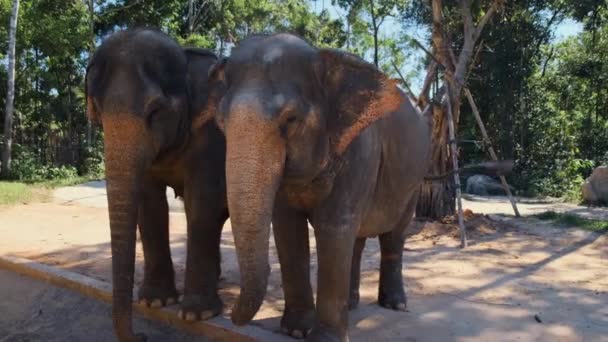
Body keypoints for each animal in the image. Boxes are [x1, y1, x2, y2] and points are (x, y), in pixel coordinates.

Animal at [84, 29, 227, 342]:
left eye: (155, 111)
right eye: (98, 110)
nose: (143, 336)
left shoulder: (211, 137)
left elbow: (203, 204)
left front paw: (197, 315)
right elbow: (150, 205)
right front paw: (155, 302)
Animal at [209, 32, 432, 342]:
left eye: (290, 119)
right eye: (221, 121)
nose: (229, 315)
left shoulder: (360, 151)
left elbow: (333, 227)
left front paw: (323, 337)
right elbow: (288, 228)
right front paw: (295, 330)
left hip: (415, 179)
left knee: (394, 235)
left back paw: (395, 304)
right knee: (357, 239)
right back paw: (351, 304)